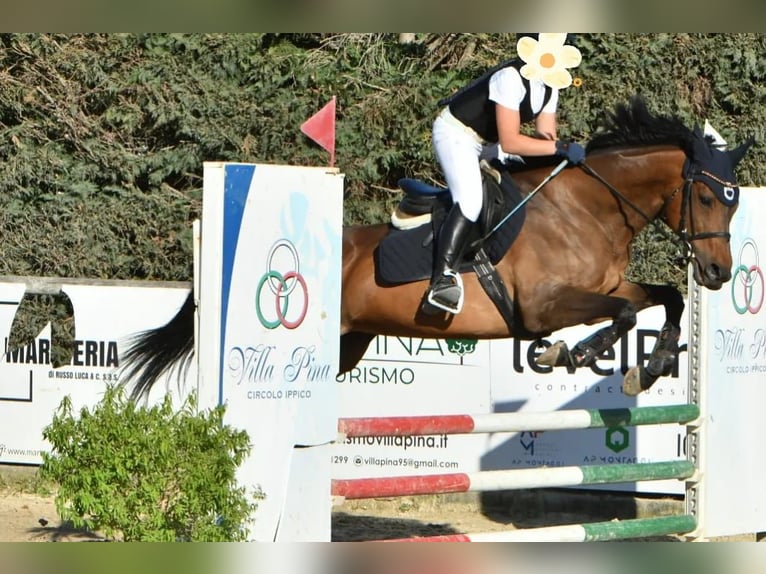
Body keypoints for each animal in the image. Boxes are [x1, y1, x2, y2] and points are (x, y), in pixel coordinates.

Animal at [126, 95, 756, 400]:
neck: (586, 209)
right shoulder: (542, 306)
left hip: (348, 344)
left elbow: (665, 298)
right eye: (706, 198)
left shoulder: (606, 285)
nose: (719, 272)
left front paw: (651, 369)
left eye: (734, 204)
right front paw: (565, 355)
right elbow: (623, 314)